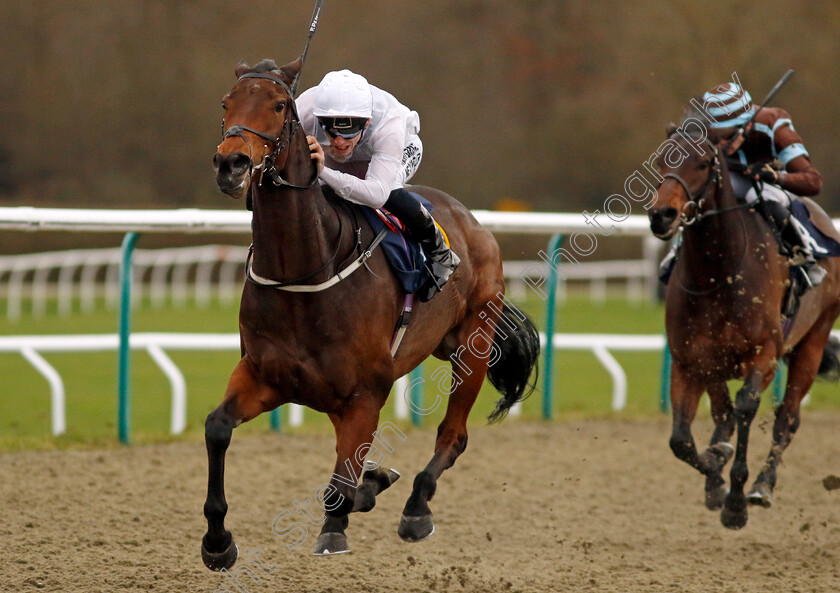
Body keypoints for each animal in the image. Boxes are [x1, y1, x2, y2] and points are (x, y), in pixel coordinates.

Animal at [202, 56, 540, 568]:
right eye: (226, 103)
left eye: (279, 105)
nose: (231, 163)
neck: (306, 270)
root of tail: (473, 222)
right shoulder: (265, 376)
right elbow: (218, 428)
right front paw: (218, 540)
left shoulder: (365, 393)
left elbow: (340, 485)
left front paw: (338, 525)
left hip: (473, 347)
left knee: (453, 435)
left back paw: (417, 507)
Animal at [652, 113, 840, 528]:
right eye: (659, 160)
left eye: (703, 162)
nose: (661, 215)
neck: (717, 274)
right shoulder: (691, 360)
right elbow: (682, 439)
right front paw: (715, 469)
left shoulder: (764, 357)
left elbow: (745, 410)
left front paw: (736, 502)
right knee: (723, 414)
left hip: (813, 339)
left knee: (787, 419)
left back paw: (762, 486)